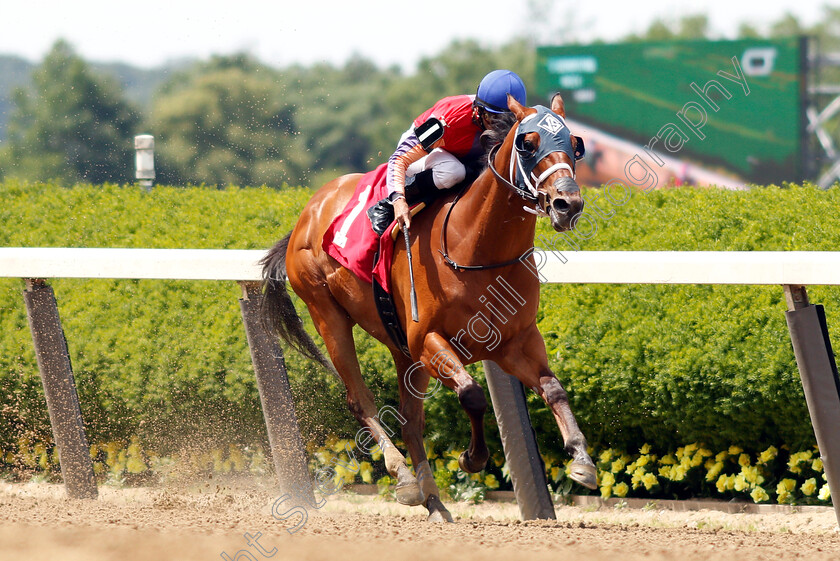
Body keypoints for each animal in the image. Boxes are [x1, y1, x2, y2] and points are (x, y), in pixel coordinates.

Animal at [262, 95, 596, 520]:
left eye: (574, 143)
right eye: (528, 143)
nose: (568, 204)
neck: (475, 248)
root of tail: (309, 211)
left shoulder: (514, 341)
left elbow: (554, 389)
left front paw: (582, 460)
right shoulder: (429, 340)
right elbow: (472, 393)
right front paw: (472, 458)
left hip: (401, 347)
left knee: (411, 422)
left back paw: (434, 501)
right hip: (328, 314)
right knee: (361, 400)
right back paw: (404, 479)